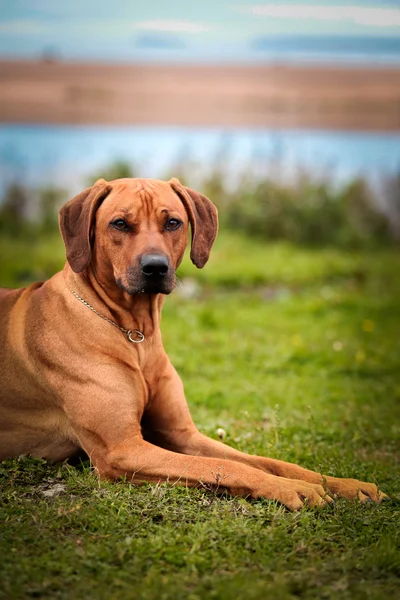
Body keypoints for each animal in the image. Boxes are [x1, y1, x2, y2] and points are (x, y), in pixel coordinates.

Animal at [0, 178, 388, 510]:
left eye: (173, 222)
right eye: (120, 224)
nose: (155, 267)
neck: (134, 333)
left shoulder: (182, 434)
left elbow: (266, 461)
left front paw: (341, 483)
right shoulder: (122, 450)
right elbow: (232, 467)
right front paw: (292, 489)